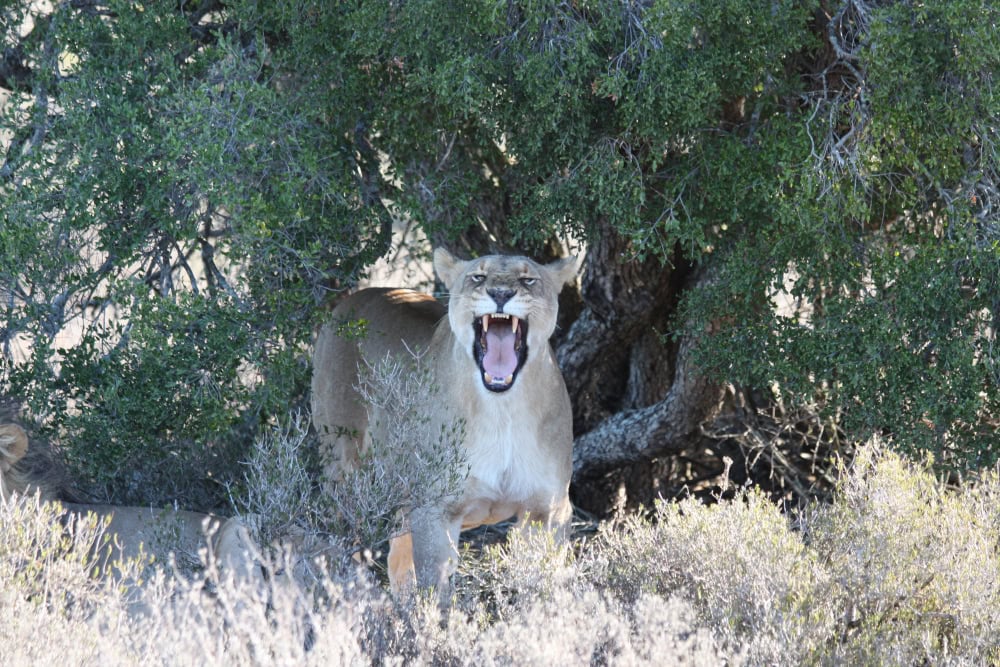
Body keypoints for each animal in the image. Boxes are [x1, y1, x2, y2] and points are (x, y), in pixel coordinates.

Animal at [311, 248, 577, 599]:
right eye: (478, 276)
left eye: (528, 279)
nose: (500, 294)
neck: (502, 410)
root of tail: (351, 300)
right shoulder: (435, 509)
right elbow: (434, 589)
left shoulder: (548, 510)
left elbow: (539, 586)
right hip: (342, 471)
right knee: (338, 543)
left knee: (397, 564)